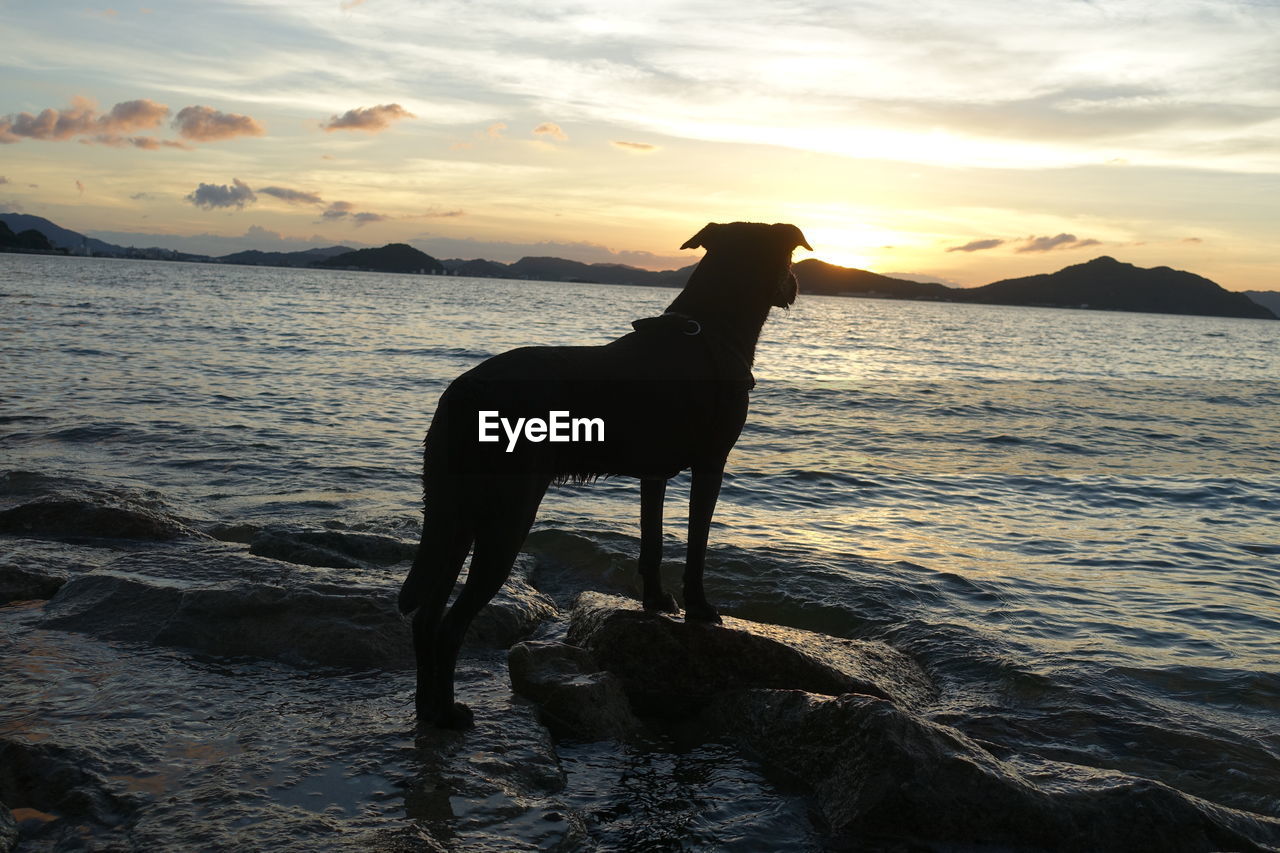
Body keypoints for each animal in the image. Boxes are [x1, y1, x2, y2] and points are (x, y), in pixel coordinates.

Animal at [396, 219, 808, 722]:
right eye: (788, 254)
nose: (795, 284)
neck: (711, 330)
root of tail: (461, 394)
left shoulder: (653, 474)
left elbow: (652, 540)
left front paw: (656, 601)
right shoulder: (711, 463)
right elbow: (697, 543)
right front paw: (700, 607)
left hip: (456, 511)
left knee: (426, 615)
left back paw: (428, 711)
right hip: (508, 512)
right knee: (451, 624)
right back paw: (447, 714)